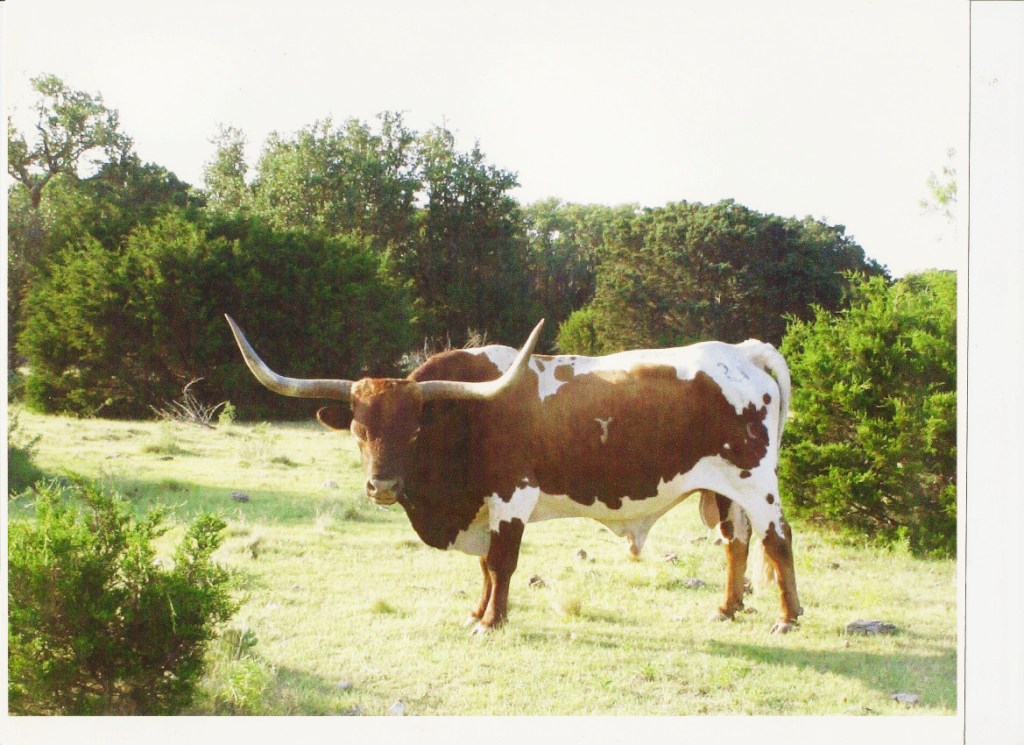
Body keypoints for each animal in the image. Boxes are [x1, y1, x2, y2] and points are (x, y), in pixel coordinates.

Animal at [225, 315, 803, 635]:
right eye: (358, 431)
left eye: (414, 432)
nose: (381, 487)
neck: (465, 418)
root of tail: (741, 352)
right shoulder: (482, 507)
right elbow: (484, 567)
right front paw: (476, 612)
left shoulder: (510, 500)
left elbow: (502, 563)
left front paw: (491, 622)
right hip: (724, 488)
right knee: (736, 542)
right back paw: (726, 610)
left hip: (756, 482)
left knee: (777, 539)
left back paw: (787, 617)